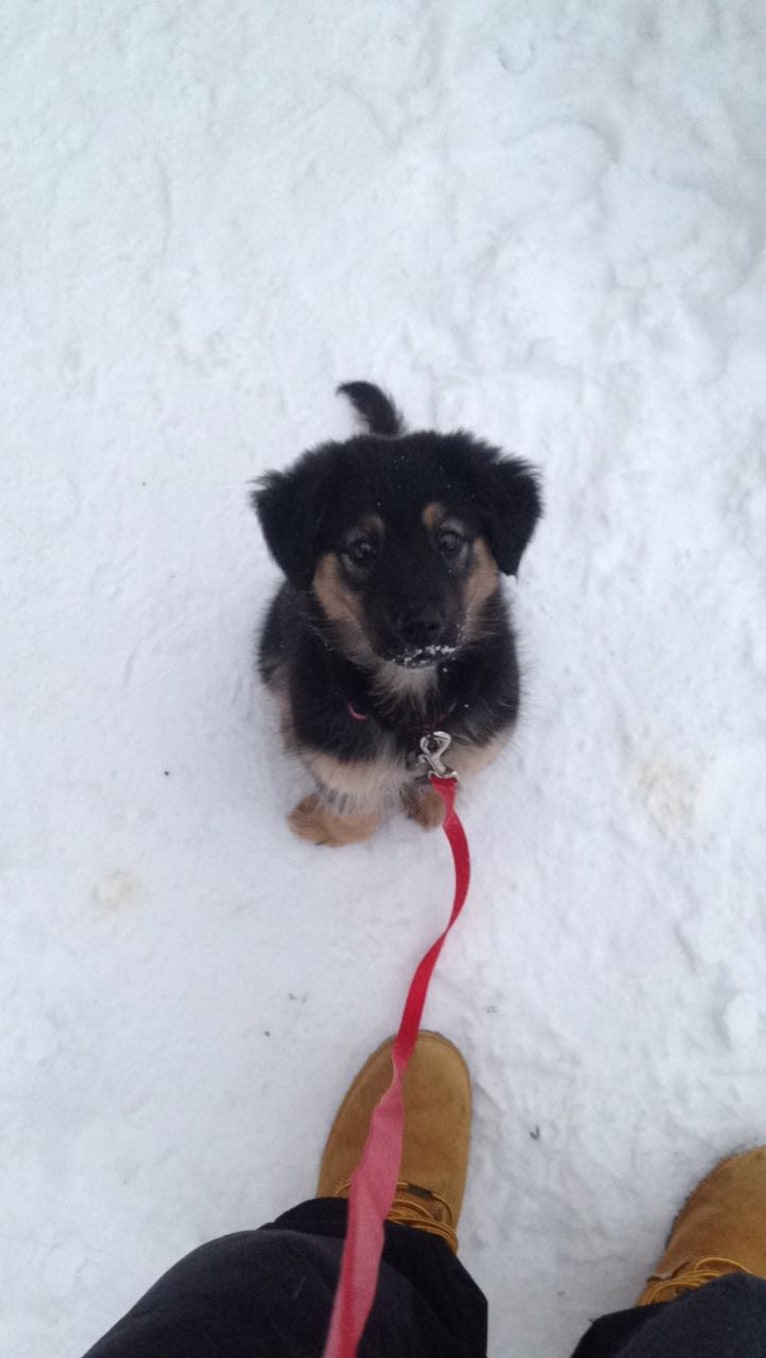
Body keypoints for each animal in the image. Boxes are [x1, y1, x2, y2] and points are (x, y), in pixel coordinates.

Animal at [253, 382, 540, 841]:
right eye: (362, 549)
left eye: (449, 539)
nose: (421, 627)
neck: (417, 721)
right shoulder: (338, 748)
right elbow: (357, 805)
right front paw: (318, 824)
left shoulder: (479, 739)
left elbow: (448, 784)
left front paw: (429, 808)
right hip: (273, 642)